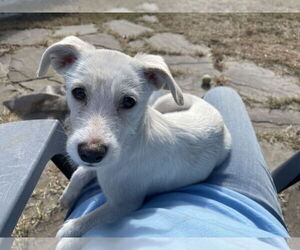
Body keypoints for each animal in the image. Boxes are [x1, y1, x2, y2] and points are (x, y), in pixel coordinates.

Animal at [36, 36, 231, 237]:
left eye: (129, 101)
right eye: (79, 92)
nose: (91, 153)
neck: (129, 144)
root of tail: (207, 106)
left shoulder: (125, 204)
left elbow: (91, 218)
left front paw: (69, 229)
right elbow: (79, 173)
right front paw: (67, 196)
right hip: (162, 104)